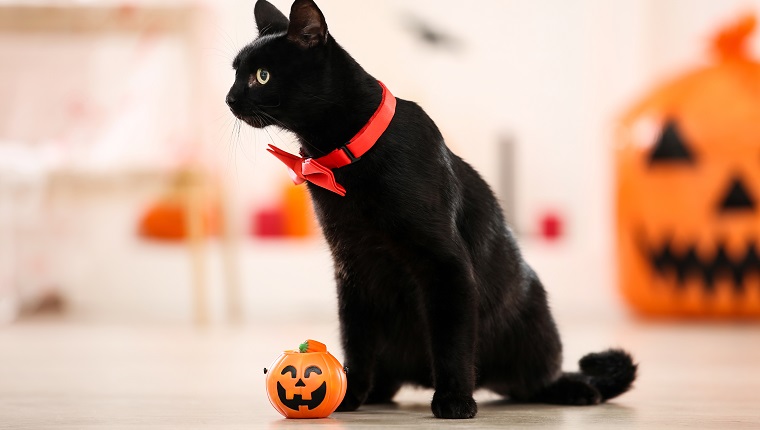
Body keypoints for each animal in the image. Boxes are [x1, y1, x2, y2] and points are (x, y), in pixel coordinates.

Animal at [227, 0, 636, 418]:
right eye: (236, 73)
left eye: (261, 76)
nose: (229, 99)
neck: (345, 158)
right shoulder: (352, 269)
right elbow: (356, 342)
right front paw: (350, 394)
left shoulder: (445, 266)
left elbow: (451, 342)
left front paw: (455, 401)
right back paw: (376, 391)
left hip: (535, 315)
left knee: (538, 377)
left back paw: (575, 389)